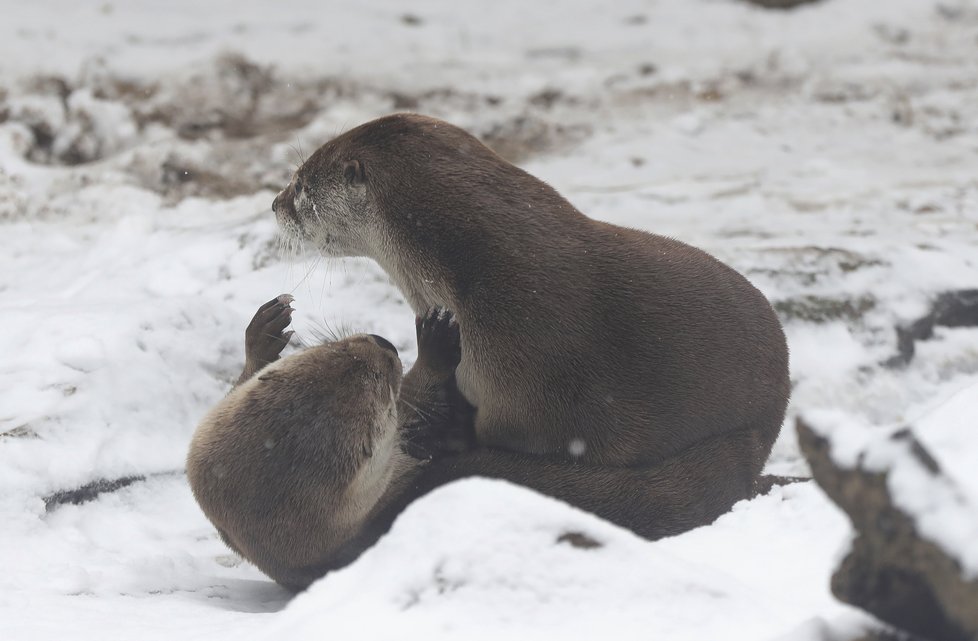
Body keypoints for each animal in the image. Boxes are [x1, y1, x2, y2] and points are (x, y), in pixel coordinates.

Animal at [187, 296, 462, 592]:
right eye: (384, 389)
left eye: (337, 348)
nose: (384, 343)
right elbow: (416, 400)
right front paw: (437, 344)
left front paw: (264, 333)